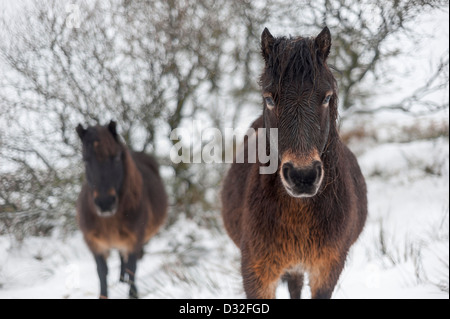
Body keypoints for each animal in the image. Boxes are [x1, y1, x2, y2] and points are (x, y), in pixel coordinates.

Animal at [75, 121, 167, 298]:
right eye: (85, 160)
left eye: (116, 157)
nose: (105, 203)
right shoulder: (95, 244)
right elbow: (102, 272)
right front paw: (103, 295)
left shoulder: (134, 239)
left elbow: (132, 268)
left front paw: (133, 294)